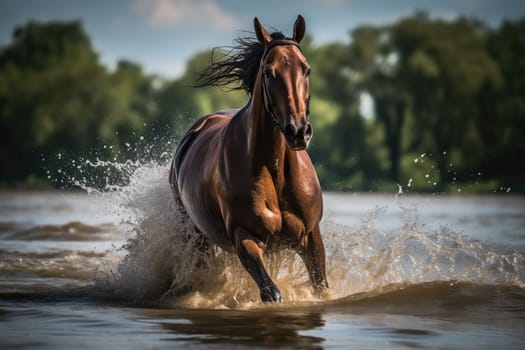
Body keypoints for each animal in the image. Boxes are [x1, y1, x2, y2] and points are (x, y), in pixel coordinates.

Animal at [169, 15, 328, 302]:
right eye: (268, 72)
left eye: (306, 69)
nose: (298, 131)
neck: (274, 169)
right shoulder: (245, 236)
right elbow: (271, 292)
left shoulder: (311, 236)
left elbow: (321, 285)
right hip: (196, 237)